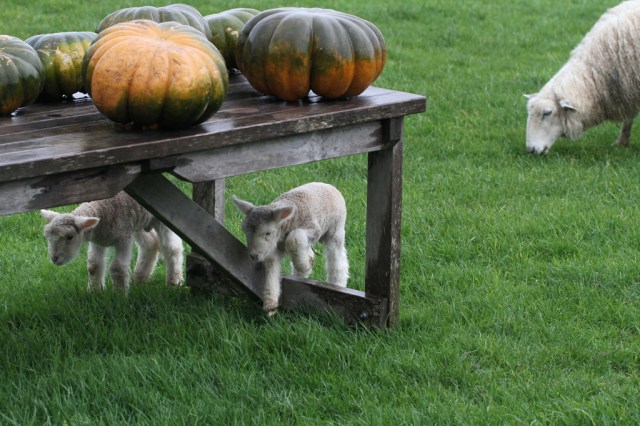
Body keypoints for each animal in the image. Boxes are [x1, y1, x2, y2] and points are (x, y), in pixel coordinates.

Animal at [41, 191, 183, 293]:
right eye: (47, 236)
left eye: (70, 237)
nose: (54, 258)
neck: (103, 211)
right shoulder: (98, 240)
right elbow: (93, 266)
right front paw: (95, 293)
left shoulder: (123, 237)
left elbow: (117, 267)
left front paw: (120, 296)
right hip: (139, 223)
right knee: (150, 243)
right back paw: (140, 279)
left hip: (162, 218)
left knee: (172, 248)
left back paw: (174, 281)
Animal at [232, 182, 349, 316]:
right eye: (244, 231)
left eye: (268, 233)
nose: (253, 256)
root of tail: (326, 184)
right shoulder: (273, 249)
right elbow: (271, 267)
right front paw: (270, 304)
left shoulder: (314, 230)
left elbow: (294, 238)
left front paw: (305, 266)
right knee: (305, 250)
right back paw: (304, 266)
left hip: (335, 231)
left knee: (337, 260)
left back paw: (337, 283)